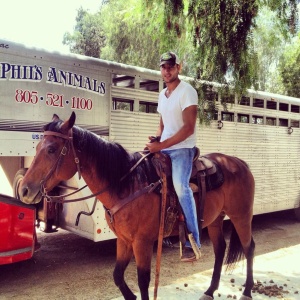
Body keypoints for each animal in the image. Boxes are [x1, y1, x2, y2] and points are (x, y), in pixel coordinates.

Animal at [19, 112, 254, 300]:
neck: (127, 184)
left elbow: (143, 280)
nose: (24, 190)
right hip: (215, 219)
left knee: (248, 247)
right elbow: (117, 275)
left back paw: (247, 291)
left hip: (241, 216)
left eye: (51, 149)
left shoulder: (142, 243)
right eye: (37, 147)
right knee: (220, 249)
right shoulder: (124, 240)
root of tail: (239, 163)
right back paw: (209, 290)